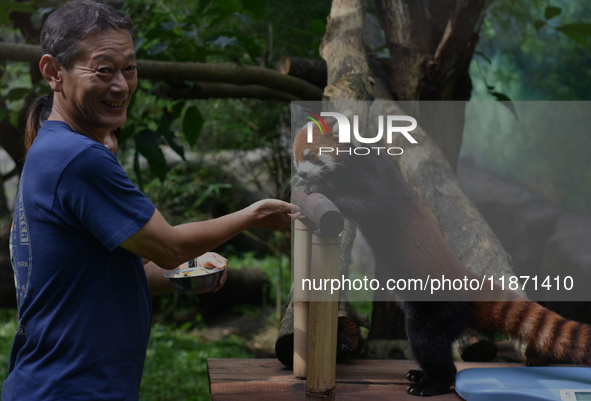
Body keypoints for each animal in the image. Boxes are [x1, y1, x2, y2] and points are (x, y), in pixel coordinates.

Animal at [294, 116, 591, 396]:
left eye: (312, 156)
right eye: (296, 157)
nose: (299, 172)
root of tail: (465, 278)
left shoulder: (379, 180)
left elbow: (370, 204)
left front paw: (322, 190)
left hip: (437, 310)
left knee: (428, 343)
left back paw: (432, 384)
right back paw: (420, 375)